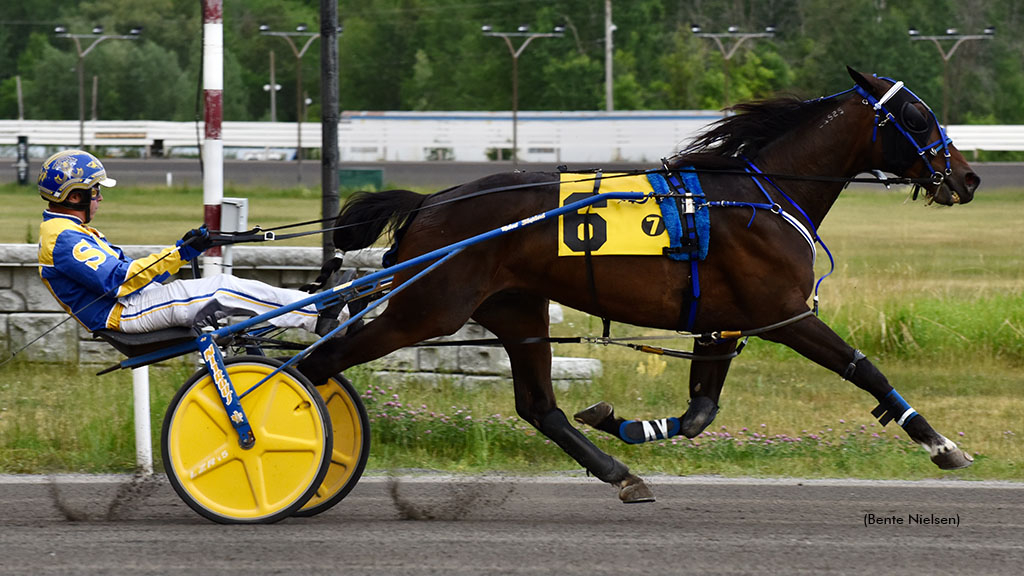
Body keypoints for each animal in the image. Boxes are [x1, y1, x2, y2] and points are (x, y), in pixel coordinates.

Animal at [294, 66, 974, 498]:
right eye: (918, 116)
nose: (967, 179)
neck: (758, 195)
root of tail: (430, 203)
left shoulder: (721, 323)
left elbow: (699, 412)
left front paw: (621, 421)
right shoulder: (782, 314)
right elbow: (864, 368)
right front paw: (941, 445)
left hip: (517, 309)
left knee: (539, 406)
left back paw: (621, 474)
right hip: (429, 307)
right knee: (318, 362)